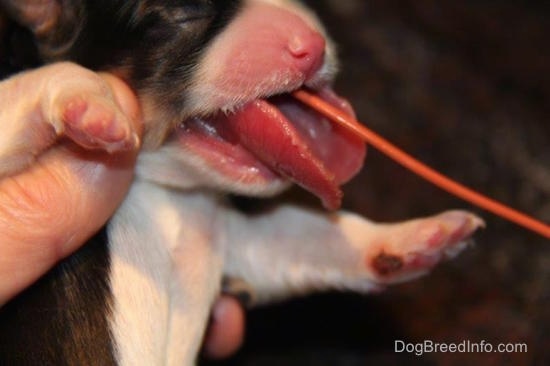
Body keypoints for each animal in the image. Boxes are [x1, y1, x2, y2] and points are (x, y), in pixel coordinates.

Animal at [0, 1, 484, 364]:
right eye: (184, 12)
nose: (312, 46)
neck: (168, 195)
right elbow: (24, 91)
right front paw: (89, 101)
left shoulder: (229, 238)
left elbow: (299, 230)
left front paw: (418, 237)